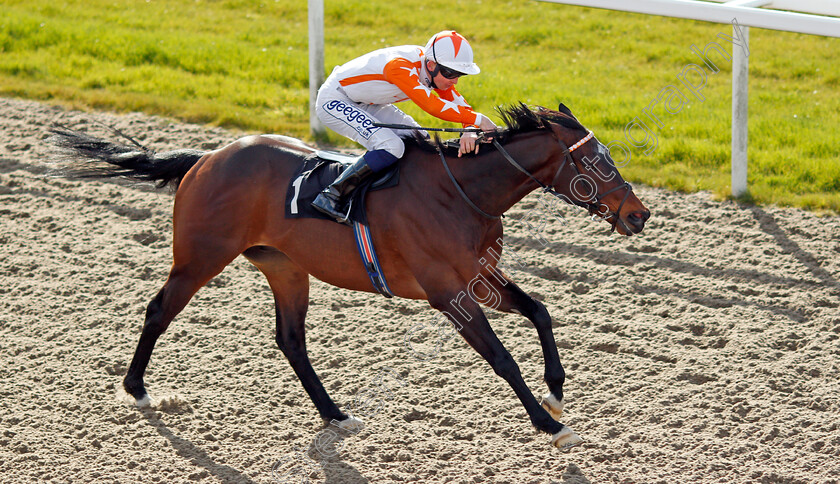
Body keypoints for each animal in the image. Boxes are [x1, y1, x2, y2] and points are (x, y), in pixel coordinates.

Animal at [50, 103, 648, 450]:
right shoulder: (448, 292)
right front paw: (549, 424)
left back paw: (336, 414)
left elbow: (540, 310)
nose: (639, 215)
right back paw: (137, 389)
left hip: (286, 267)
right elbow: (501, 358)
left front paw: (556, 393)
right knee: (160, 310)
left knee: (290, 339)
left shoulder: (479, 277)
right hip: (202, 255)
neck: (461, 193)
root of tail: (207, 157)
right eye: (595, 162)